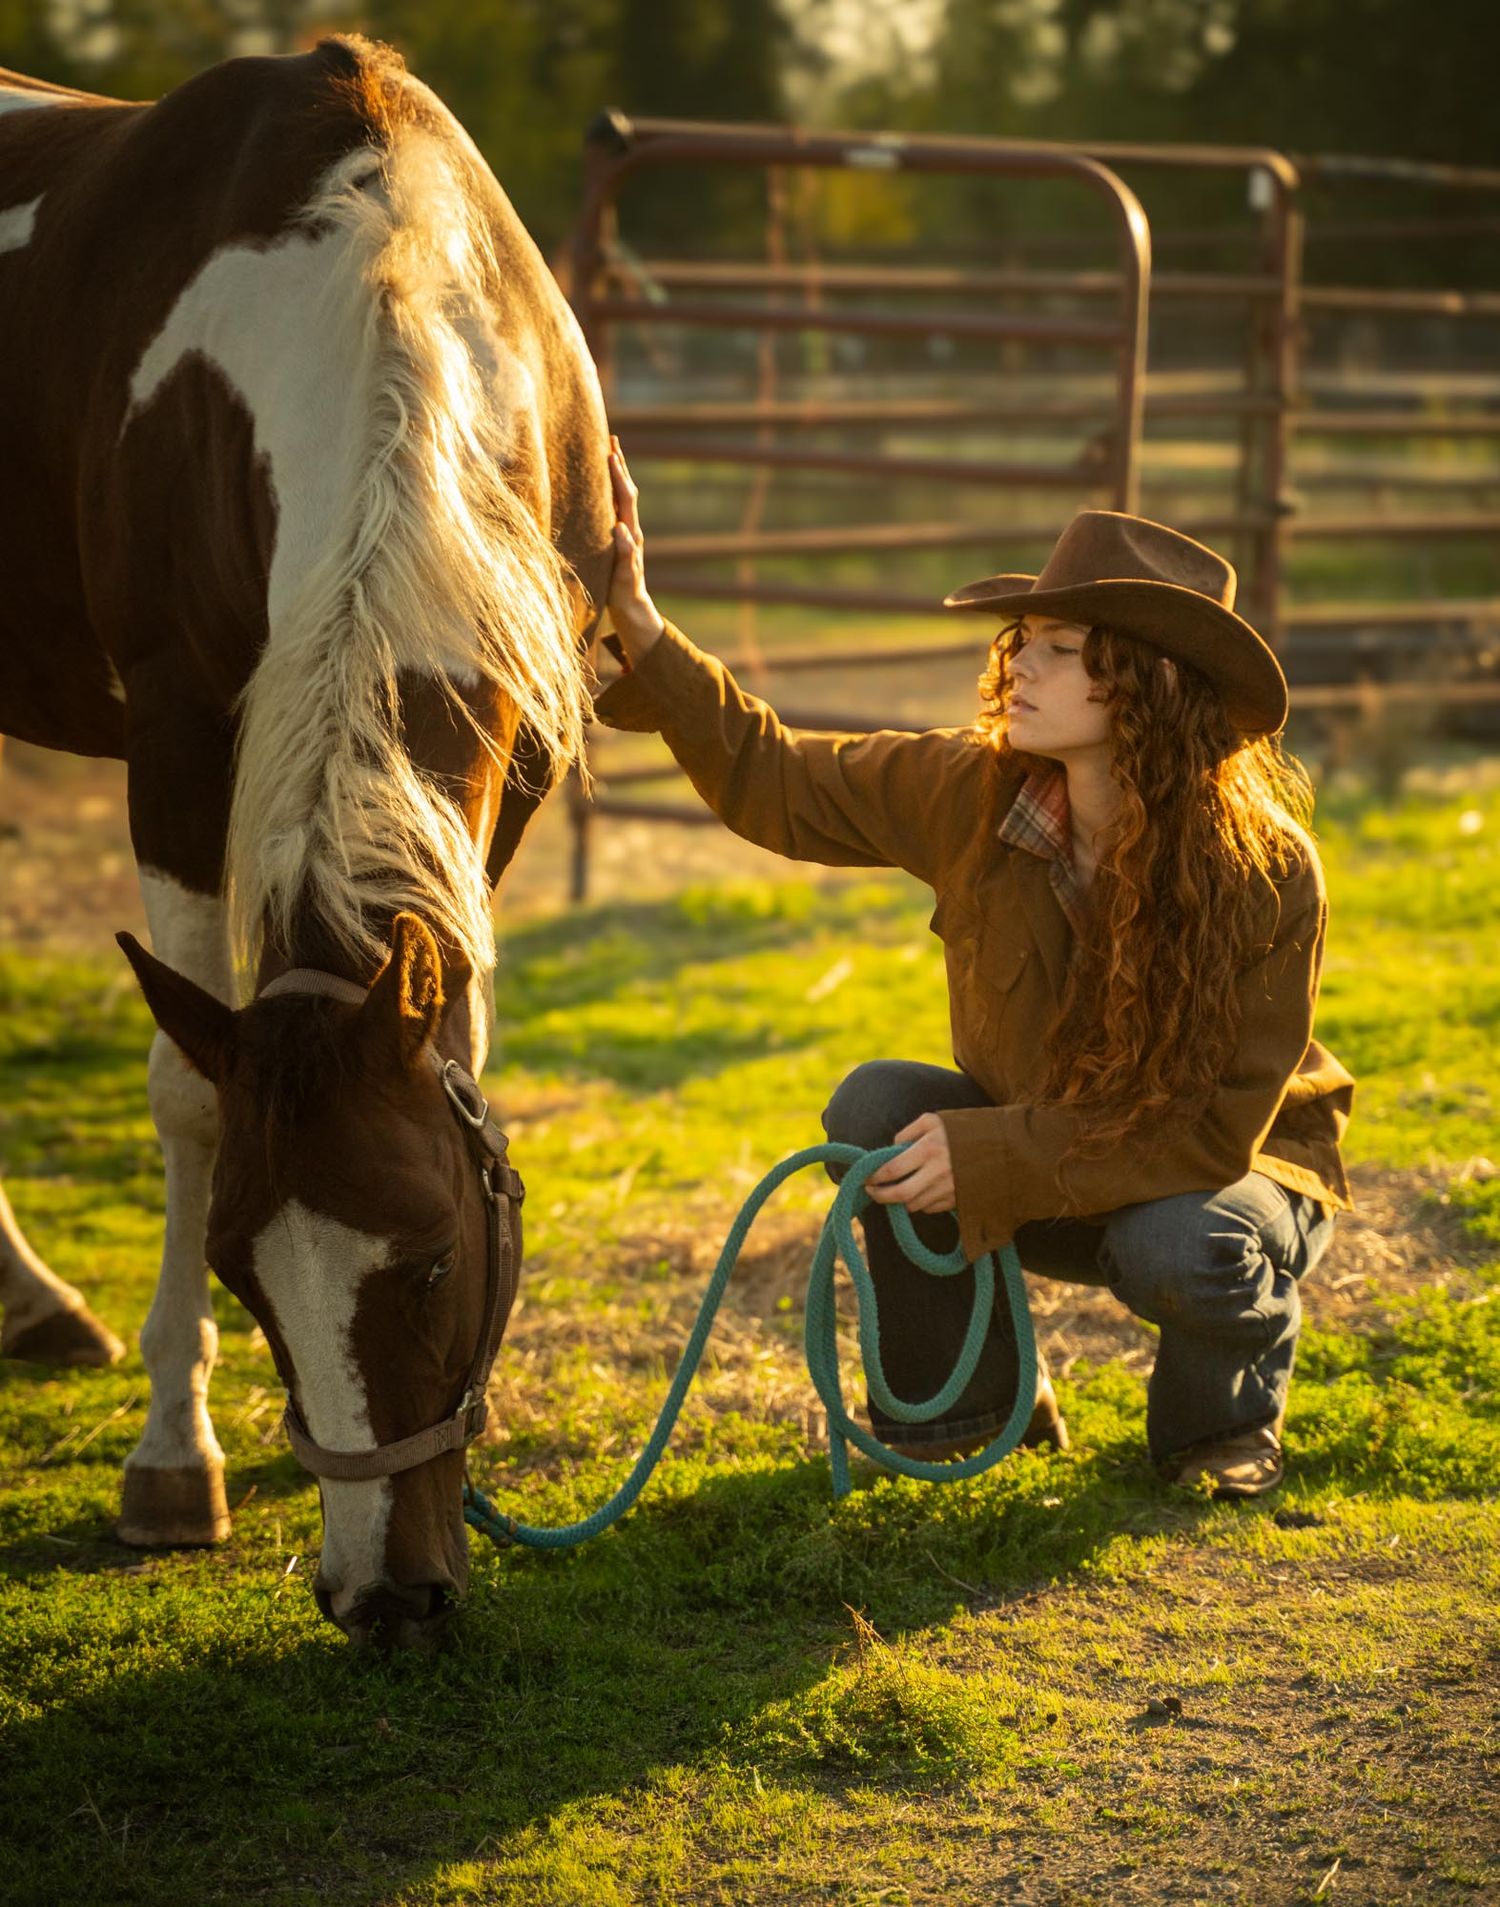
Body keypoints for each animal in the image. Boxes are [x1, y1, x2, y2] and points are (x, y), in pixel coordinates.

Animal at [0, 37, 613, 1647]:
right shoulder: (173, 739)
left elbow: (465, 1041)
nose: (385, 1598)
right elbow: (191, 1098)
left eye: (439, 1254)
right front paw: (175, 1455)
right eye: (243, 1272)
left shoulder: (513, 767)